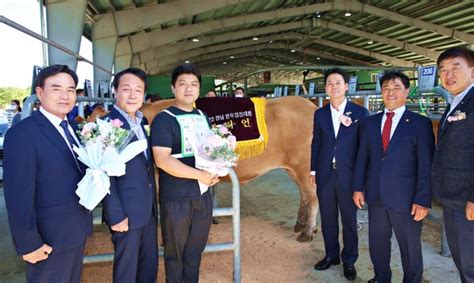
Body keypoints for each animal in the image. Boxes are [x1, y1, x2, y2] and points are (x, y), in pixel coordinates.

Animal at [141, 96, 318, 243]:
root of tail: (310, 105)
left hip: (304, 167)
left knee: (313, 197)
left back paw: (307, 232)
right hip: (293, 168)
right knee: (304, 194)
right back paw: (300, 224)